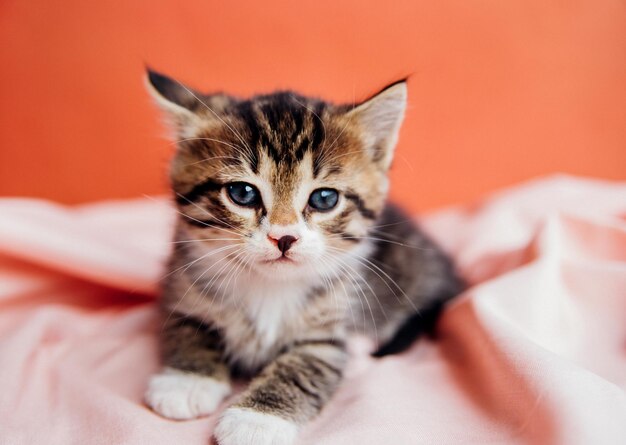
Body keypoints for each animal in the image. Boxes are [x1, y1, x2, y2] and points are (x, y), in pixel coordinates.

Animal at [144, 69, 460, 444]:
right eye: (242, 193)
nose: (284, 237)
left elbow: (305, 367)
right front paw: (187, 381)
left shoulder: (329, 332)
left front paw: (256, 420)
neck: (269, 286)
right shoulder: (182, 283)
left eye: (324, 198)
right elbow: (187, 329)